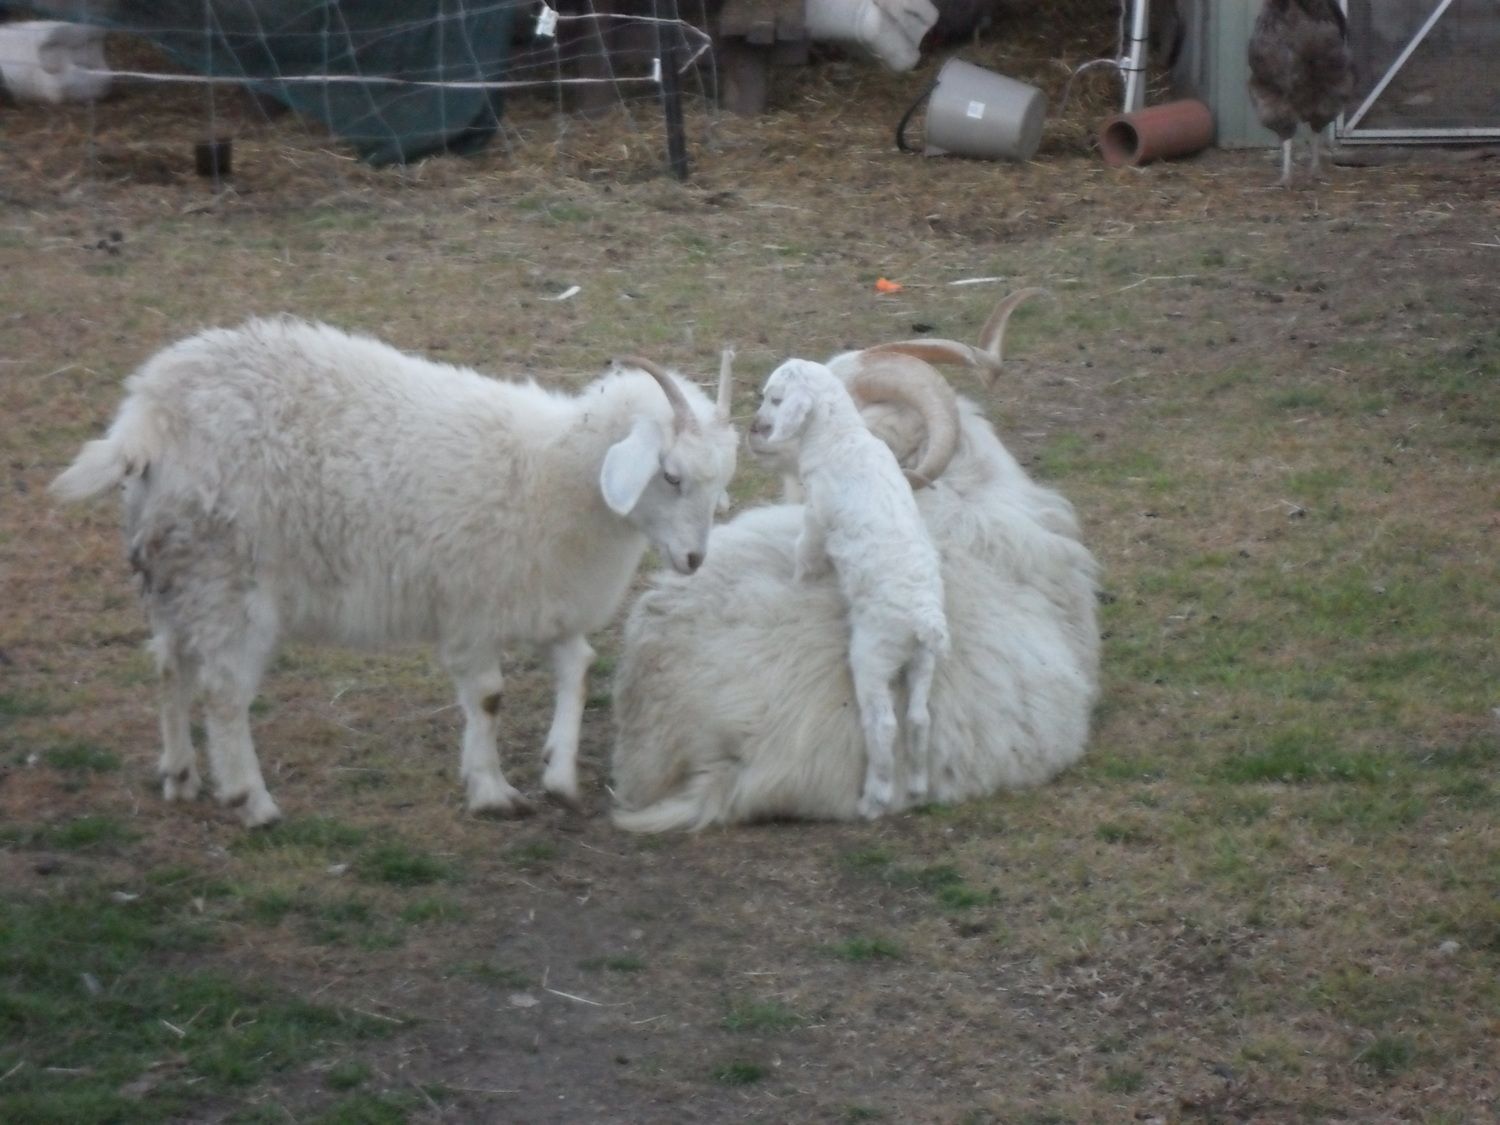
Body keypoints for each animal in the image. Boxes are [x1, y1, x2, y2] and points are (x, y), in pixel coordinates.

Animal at [51, 317, 738, 827]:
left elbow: (578, 670)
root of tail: (146, 418)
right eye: (670, 476)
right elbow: (488, 698)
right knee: (222, 692)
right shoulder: (472, 609)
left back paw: (180, 774)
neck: (556, 473)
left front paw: (560, 773)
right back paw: (252, 799)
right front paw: (491, 790)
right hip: (227, 581)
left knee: (170, 666)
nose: (694, 560)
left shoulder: (544, 602)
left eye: (718, 481)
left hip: (176, 570)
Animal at [748, 357, 950, 817]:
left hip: (873, 655)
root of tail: (923, 619)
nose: (757, 427)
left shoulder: (816, 514)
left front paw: (798, 582)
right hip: (923, 659)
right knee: (919, 717)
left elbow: (805, 552)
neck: (842, 438)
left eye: (775, 399)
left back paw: (873, 799)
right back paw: (916, 787)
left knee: (884, 723)